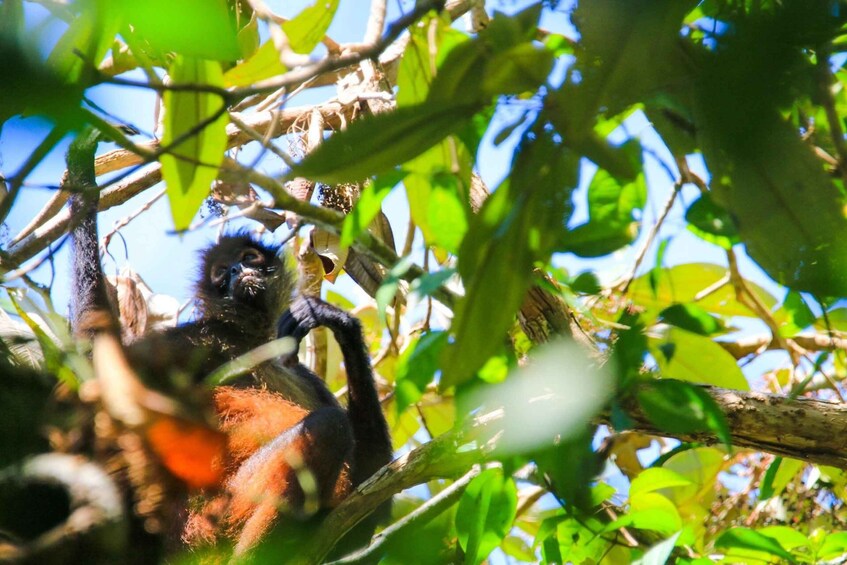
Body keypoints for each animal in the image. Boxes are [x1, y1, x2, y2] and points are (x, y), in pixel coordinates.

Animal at [68, 129, 394, 560]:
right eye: (222, 273)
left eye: (249, 257)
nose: (239, 271)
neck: (247, 341)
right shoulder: (197, 338)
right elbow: (96, 378)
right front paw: (82, 177)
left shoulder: (301, 371)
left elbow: (372, 500)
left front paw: (333, 320)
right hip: (213, 512)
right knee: (328, 427)